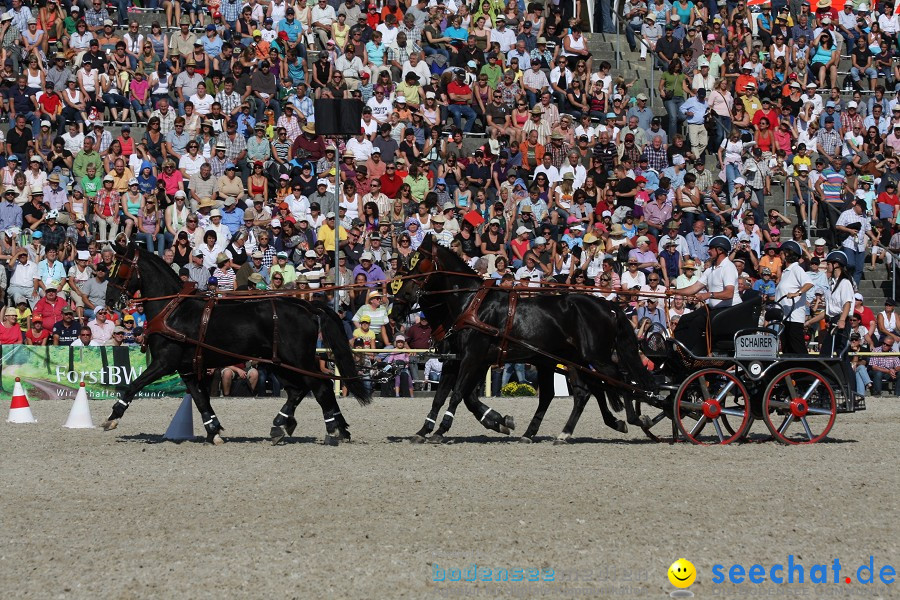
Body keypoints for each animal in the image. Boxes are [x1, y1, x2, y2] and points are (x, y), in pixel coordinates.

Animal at [103, 244, 370, 446]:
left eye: (120, 268)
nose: (110, 300)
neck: (173, 310)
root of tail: (308, 307)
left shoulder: (164, 363)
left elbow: (133, 385)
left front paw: (113, 417)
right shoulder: (187, 368)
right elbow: (200, 400)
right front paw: (213, 430)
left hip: (295, 359)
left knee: (320, 386)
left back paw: (331, 430)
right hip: (279, 362)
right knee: (299, 390)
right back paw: (284, 425)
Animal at [388, 237, 652, 442]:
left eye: (419, 265)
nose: (397, 306)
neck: (471, 304)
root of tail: (608, 306)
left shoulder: (472, 358)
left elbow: (457, 394)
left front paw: (443, 429)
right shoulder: (456, 359)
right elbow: (443, 396)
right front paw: (425, 429)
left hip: (595, 357)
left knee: (620, 381)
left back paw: (636, 419)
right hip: (568, 360)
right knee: (583, 392)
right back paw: (558, 432)